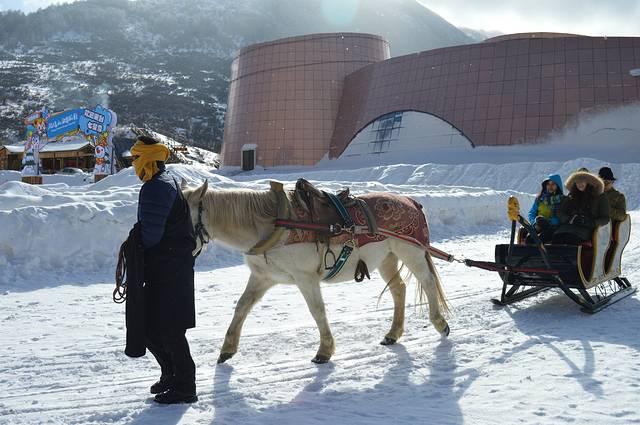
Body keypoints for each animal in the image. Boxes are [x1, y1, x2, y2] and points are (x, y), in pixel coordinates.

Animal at [181, 180, 450, 364]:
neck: (273, 225)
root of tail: (411, 201)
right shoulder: (263, 277)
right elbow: (242, 306)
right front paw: (227, 348)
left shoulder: (305, 277)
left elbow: (317, 310)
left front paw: (324, 351)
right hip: (386, 258)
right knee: (399, 290)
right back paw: (393, 334)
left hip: (411, 251)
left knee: (427, 282)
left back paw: (440, 324)